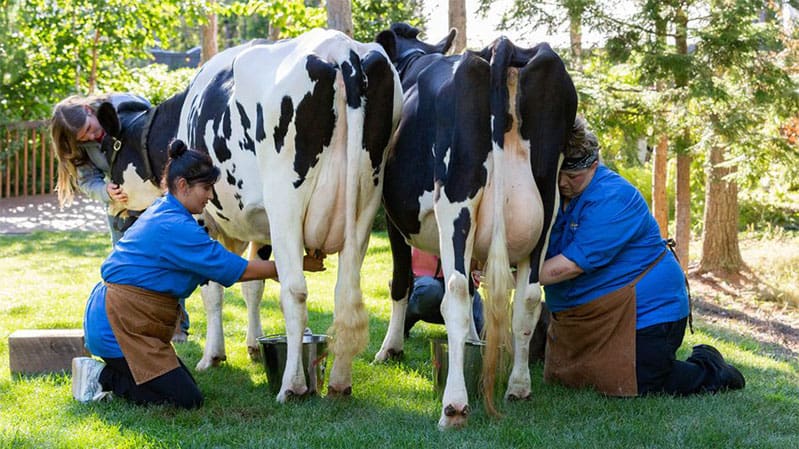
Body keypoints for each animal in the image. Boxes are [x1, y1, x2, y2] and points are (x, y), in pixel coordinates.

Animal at [97, 28, 404, 400]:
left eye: (109, 148)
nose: (110, 197)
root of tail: (341, 48)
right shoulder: (261, 226)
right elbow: (253, 285)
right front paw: (254, 346)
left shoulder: (205, 219)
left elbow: (212, 290)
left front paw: (213, 356)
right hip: (365, 201)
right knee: (345, 293)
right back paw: (339, 383)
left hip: (286, 200)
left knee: (295, 290)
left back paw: (292, 386)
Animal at [374, 23, 576, 428]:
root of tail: (503, 48)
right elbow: (473, 287)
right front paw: (472, 340)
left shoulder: (393, 217)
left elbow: (401, 281)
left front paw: (390, 349)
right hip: (548, 201)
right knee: (528, 297)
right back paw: (519, 387)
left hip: (456, 200)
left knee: (453, 292)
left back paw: (453, 406)